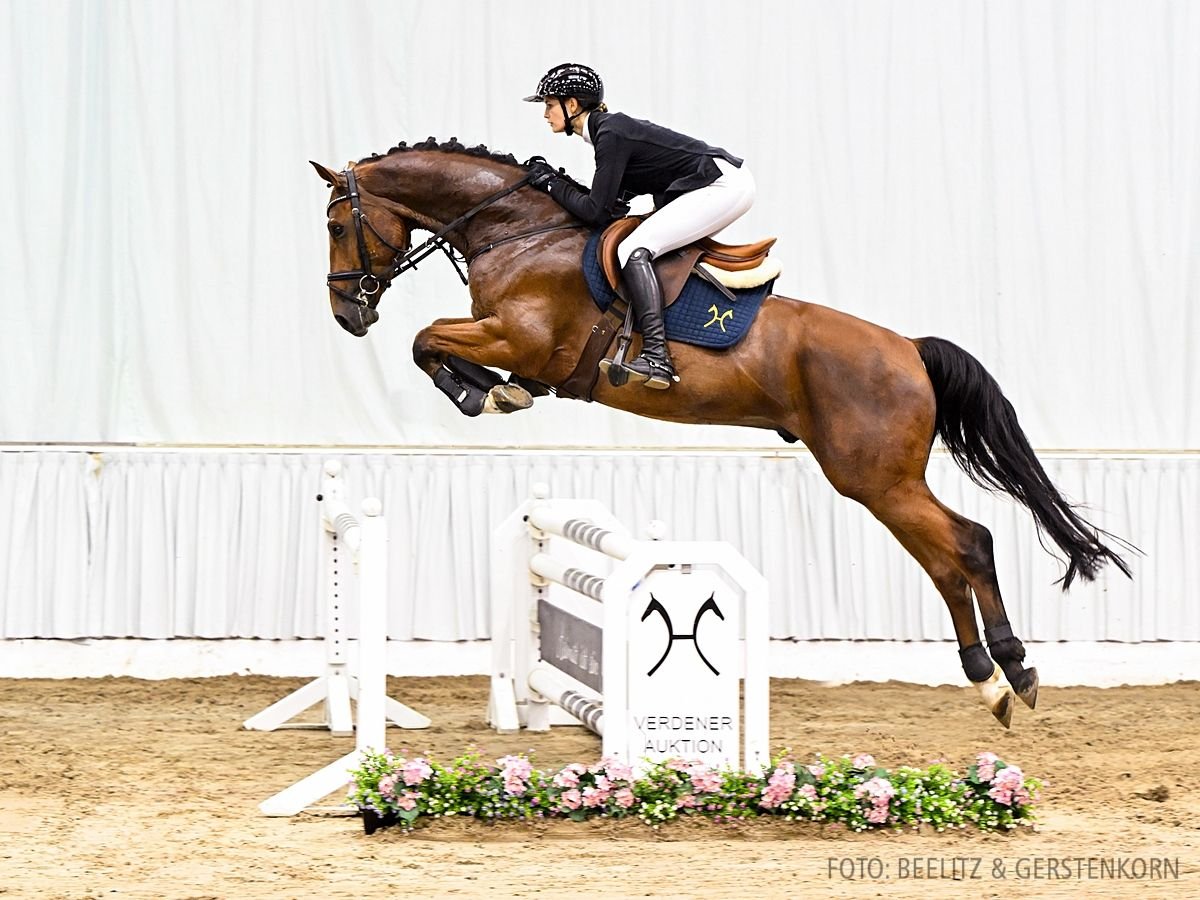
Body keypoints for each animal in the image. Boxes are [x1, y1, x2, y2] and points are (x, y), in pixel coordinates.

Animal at [312, 142, 1132, 734]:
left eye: (335, 226)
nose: (348, 316)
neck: (517, 232)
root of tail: (906, 347)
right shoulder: (512, 341)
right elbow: (432, 343)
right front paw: (489, 390)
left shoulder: (523, 338)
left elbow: (426, 339)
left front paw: (483, 392)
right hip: (881, 481)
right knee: (947, 557)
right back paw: (992, 680)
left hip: (875, 478)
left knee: (966, 544)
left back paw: (1011, 672)